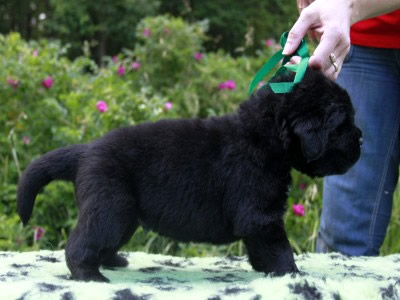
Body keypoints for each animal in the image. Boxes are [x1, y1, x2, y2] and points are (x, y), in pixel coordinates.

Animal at [18, 68, 362, 282]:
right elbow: (280, 248)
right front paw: (292, 274)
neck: (263, 136)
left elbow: (263, 250)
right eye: (342, 124)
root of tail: (86, 150)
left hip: (124, 216)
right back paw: (90, 276)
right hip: (110, 207)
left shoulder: (258, 221)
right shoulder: (261, 217)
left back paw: (112, 262)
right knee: (80, 243)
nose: (361, 139)